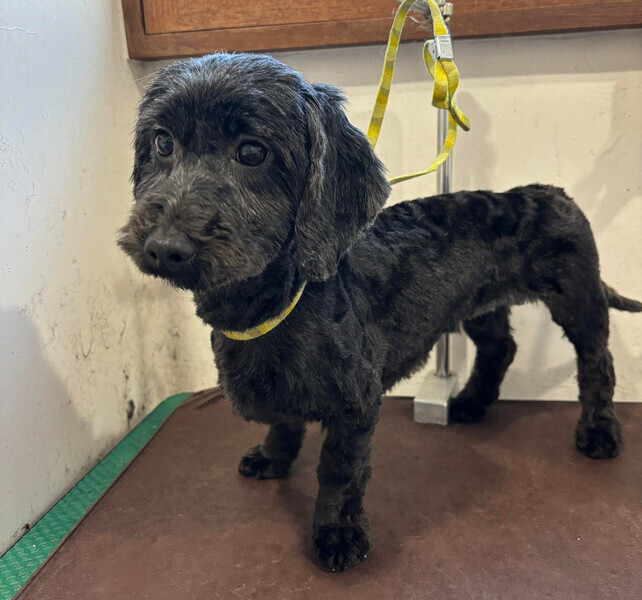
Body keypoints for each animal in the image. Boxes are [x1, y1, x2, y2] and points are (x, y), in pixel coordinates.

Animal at [119, 53, 641, 572]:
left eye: (251, 152)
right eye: (162, 143)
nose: (164, 248)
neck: (279, 302)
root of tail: (553, 193)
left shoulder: (357, 402)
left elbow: (339, 470)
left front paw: (338, 533)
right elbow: (284, 423)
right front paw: (273, 457)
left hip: (578, 300)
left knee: (597, 363)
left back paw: (598, 432)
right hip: (479, 304)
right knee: (500, 347)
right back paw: (471, 402)